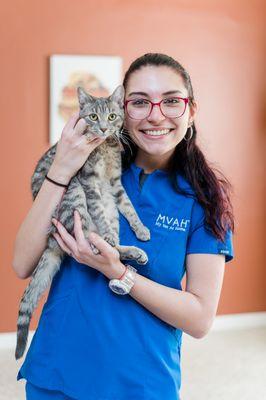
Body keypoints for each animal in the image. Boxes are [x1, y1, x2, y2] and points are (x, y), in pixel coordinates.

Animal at [15, 86, 151, 360]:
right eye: (93, 117)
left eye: (112, 116)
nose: (103, 129)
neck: (106, 148)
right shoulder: (88, 181)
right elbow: (98, 213)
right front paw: (109, 234)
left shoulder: (115, 185)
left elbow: (130, 208)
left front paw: (140, 228)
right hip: (74, 194)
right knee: (90, 238)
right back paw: (110, 243)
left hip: (108, 205)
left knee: (113, 246)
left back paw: (132, 250)